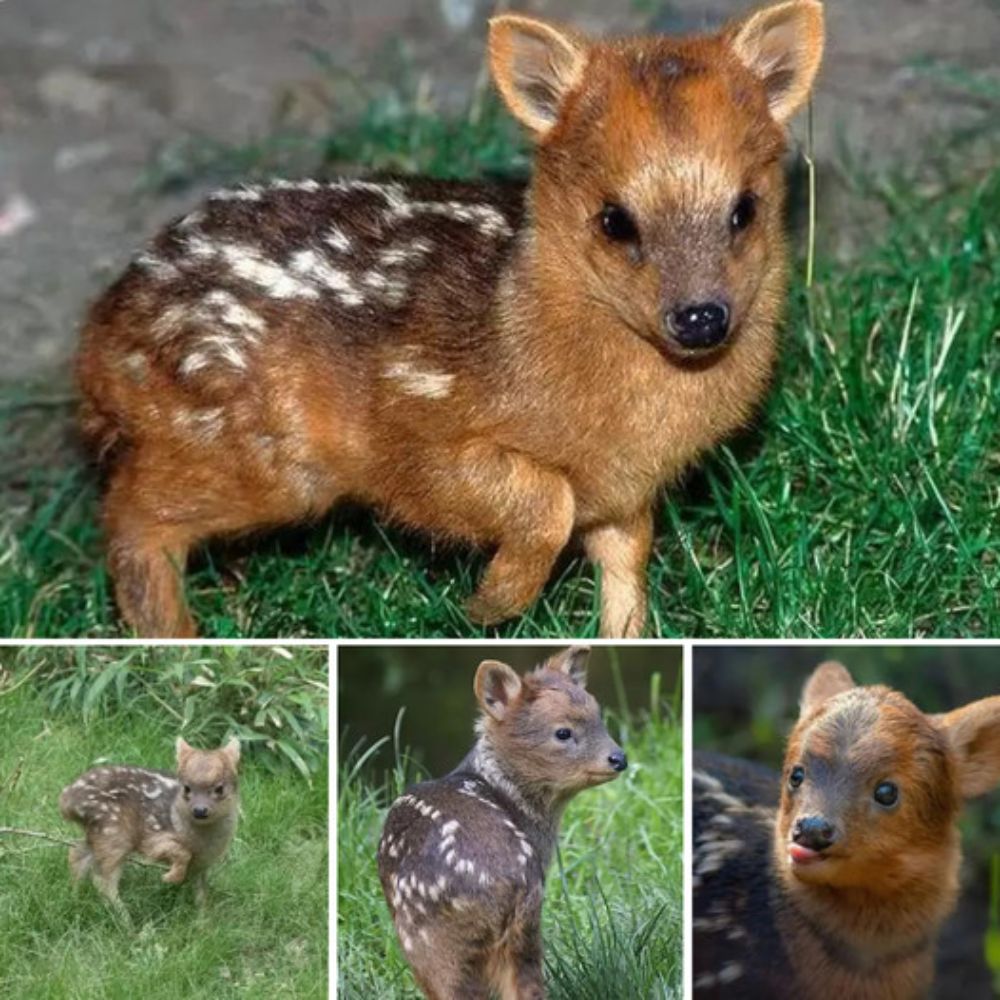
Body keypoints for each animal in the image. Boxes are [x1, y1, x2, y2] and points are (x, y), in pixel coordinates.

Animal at [78, 5, 824, 632]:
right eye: (615, 220)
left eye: (745, 209)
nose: (701, 318)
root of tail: (97, 348)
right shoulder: (414, 443)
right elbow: (546, 499)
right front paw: (489, 603)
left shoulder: (623, 493)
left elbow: (627, 563)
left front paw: (614, 635)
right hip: (256, 452)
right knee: (130, 515)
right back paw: (171, 635)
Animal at [378, 644, 628, 996]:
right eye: (563, 732)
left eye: (599, 717)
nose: (619, 758)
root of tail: (505, 886)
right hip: (525, 934)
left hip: (430, 942)